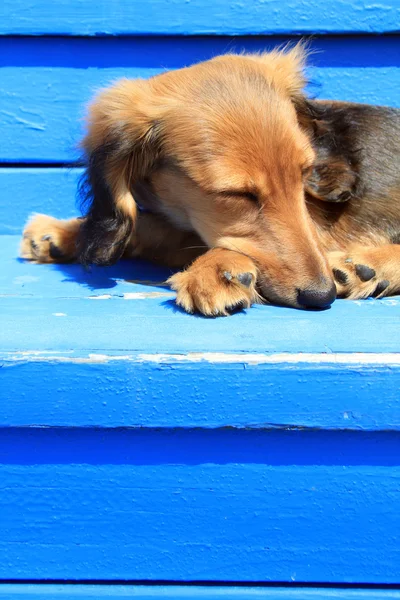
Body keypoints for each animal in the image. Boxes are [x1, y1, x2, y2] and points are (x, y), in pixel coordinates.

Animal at [21, 46, 400, 316]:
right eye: (237, 194)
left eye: (305, 173)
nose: (323, 296)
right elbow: (145, 224)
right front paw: (63, 233)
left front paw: (217, 269)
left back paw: (365, 266)